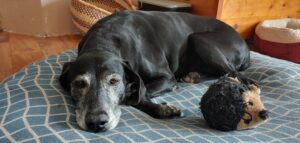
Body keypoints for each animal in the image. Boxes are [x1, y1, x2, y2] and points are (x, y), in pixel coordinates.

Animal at [59, 10, 250, 132]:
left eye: (114, 81)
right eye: (79, 84)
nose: (97, 123)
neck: (105, 39)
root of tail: (246, 47)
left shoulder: (167, 77)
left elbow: (135, 96)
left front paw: (164, 109)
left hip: (198, 39)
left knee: (233, 72)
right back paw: (192, 76)